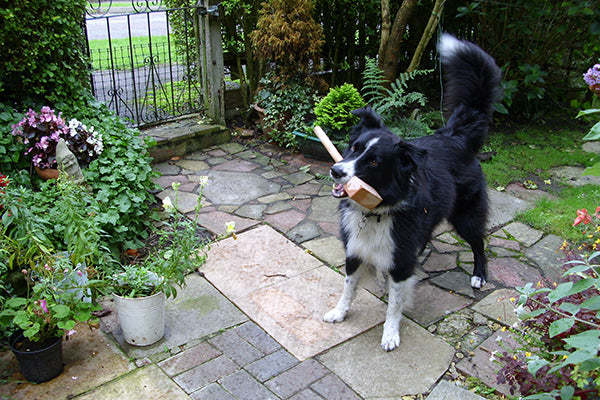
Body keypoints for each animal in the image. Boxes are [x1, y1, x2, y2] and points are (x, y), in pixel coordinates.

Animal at [324, 36, 502, 352]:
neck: (376, 211)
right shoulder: (355, 249)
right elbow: (348, 286)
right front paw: (339, 312)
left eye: (374, 162)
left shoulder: (402, 259)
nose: (336, 171)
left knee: (479, 242)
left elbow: (395, 303)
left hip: (466, 215)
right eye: (354, 148)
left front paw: (390, 334)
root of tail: (456, 135)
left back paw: (479, 275)